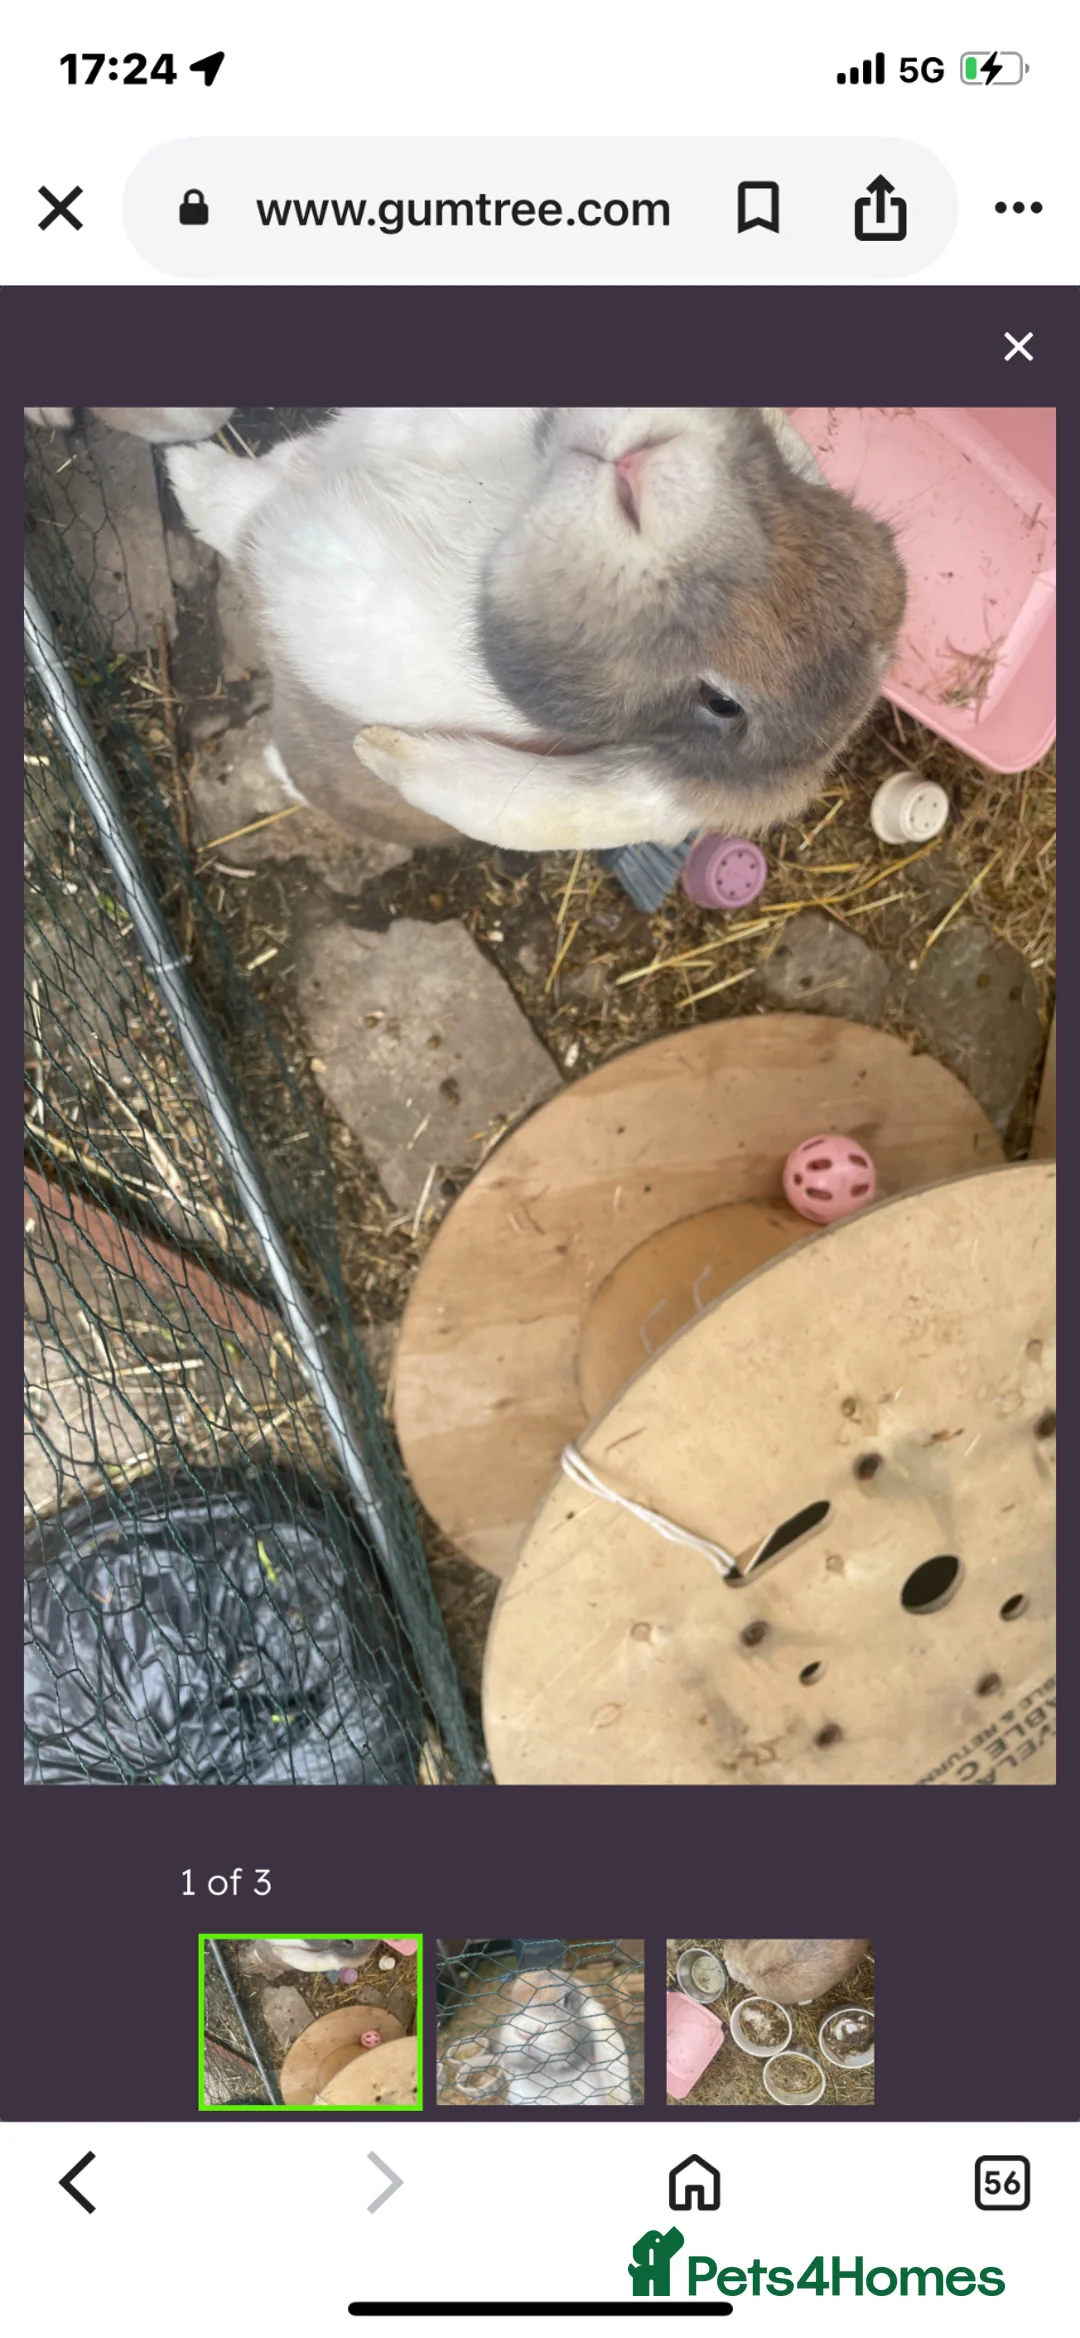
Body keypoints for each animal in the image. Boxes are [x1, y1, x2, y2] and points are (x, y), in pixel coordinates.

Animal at [164, 405, 906, 854]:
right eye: (792, 485)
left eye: (721, 703)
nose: (642, 473)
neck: (515, 499)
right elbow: (258, 479)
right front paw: (184, 461)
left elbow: (237, 515)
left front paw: (180, 471)